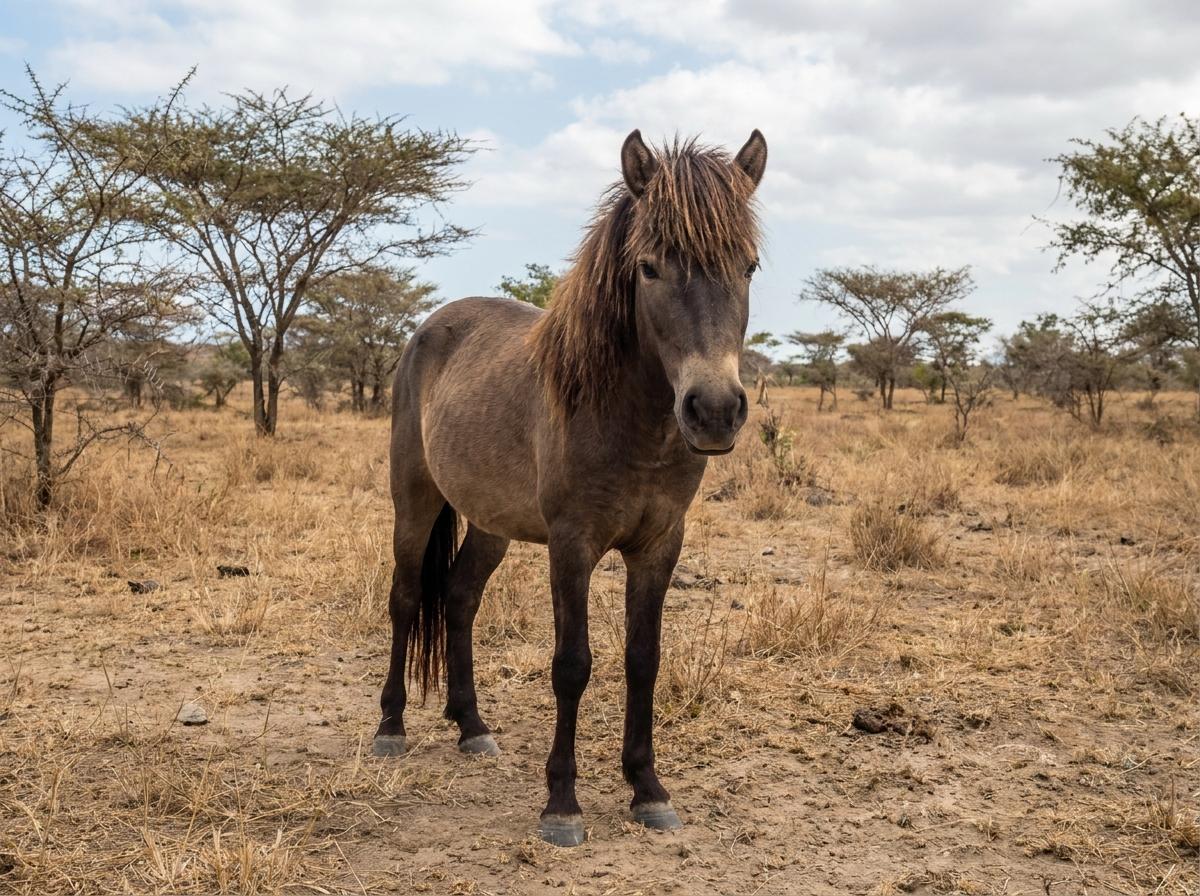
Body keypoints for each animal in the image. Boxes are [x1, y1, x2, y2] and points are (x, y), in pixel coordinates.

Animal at [372, 128, 768, 846]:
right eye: (649, 268)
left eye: (748, 266)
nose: (715, 410)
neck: (625, 418)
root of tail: (428, 328)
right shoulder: (572, 544)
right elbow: (572, 665)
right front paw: (561, 803)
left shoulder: (660, 544)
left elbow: (643, 658)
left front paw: (648, 789)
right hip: (413, 502)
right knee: (407, 599)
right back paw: (390, 728)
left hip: (491, 524)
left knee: (461, 600)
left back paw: (472, 727)